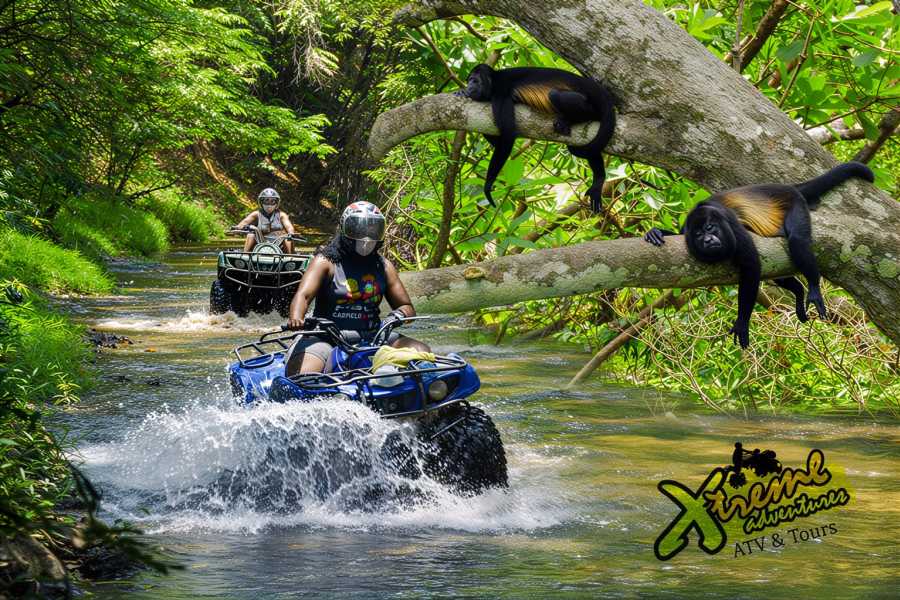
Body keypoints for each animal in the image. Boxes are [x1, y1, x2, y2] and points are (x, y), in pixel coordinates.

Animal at [455, 64, 616, 212]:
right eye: (469, 80)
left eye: (475, 80)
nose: (469, 86)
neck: (493, 83)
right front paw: (461, 92)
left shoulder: (501, 92)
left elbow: (507, 135)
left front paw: (488, 186)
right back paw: (599, 180)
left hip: (590, 105)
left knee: (556, 95)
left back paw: (569, 120)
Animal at [643, 162, 874, 348]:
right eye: (699, 235)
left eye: (710, 227)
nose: (708, 240)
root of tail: (788, 187)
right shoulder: (686, 232)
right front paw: (655, 233)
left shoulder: (732, 226)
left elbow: (752, 265)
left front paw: (742, 322)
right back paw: (798, 291)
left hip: (795, 202)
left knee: (797, 240)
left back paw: (813, 288)